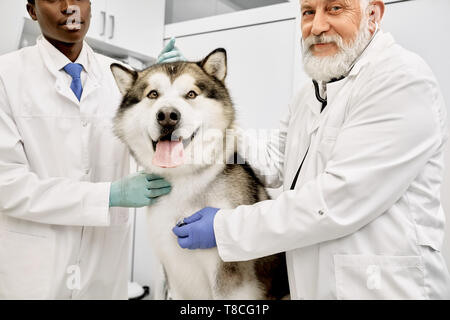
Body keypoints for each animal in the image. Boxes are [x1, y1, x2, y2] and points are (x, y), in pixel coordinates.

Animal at [109, 48, 288, 300]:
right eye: (153, 94)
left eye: (191, 94)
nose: (167, 115)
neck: (182, 181)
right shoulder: (174, 274)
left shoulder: (230, 281)